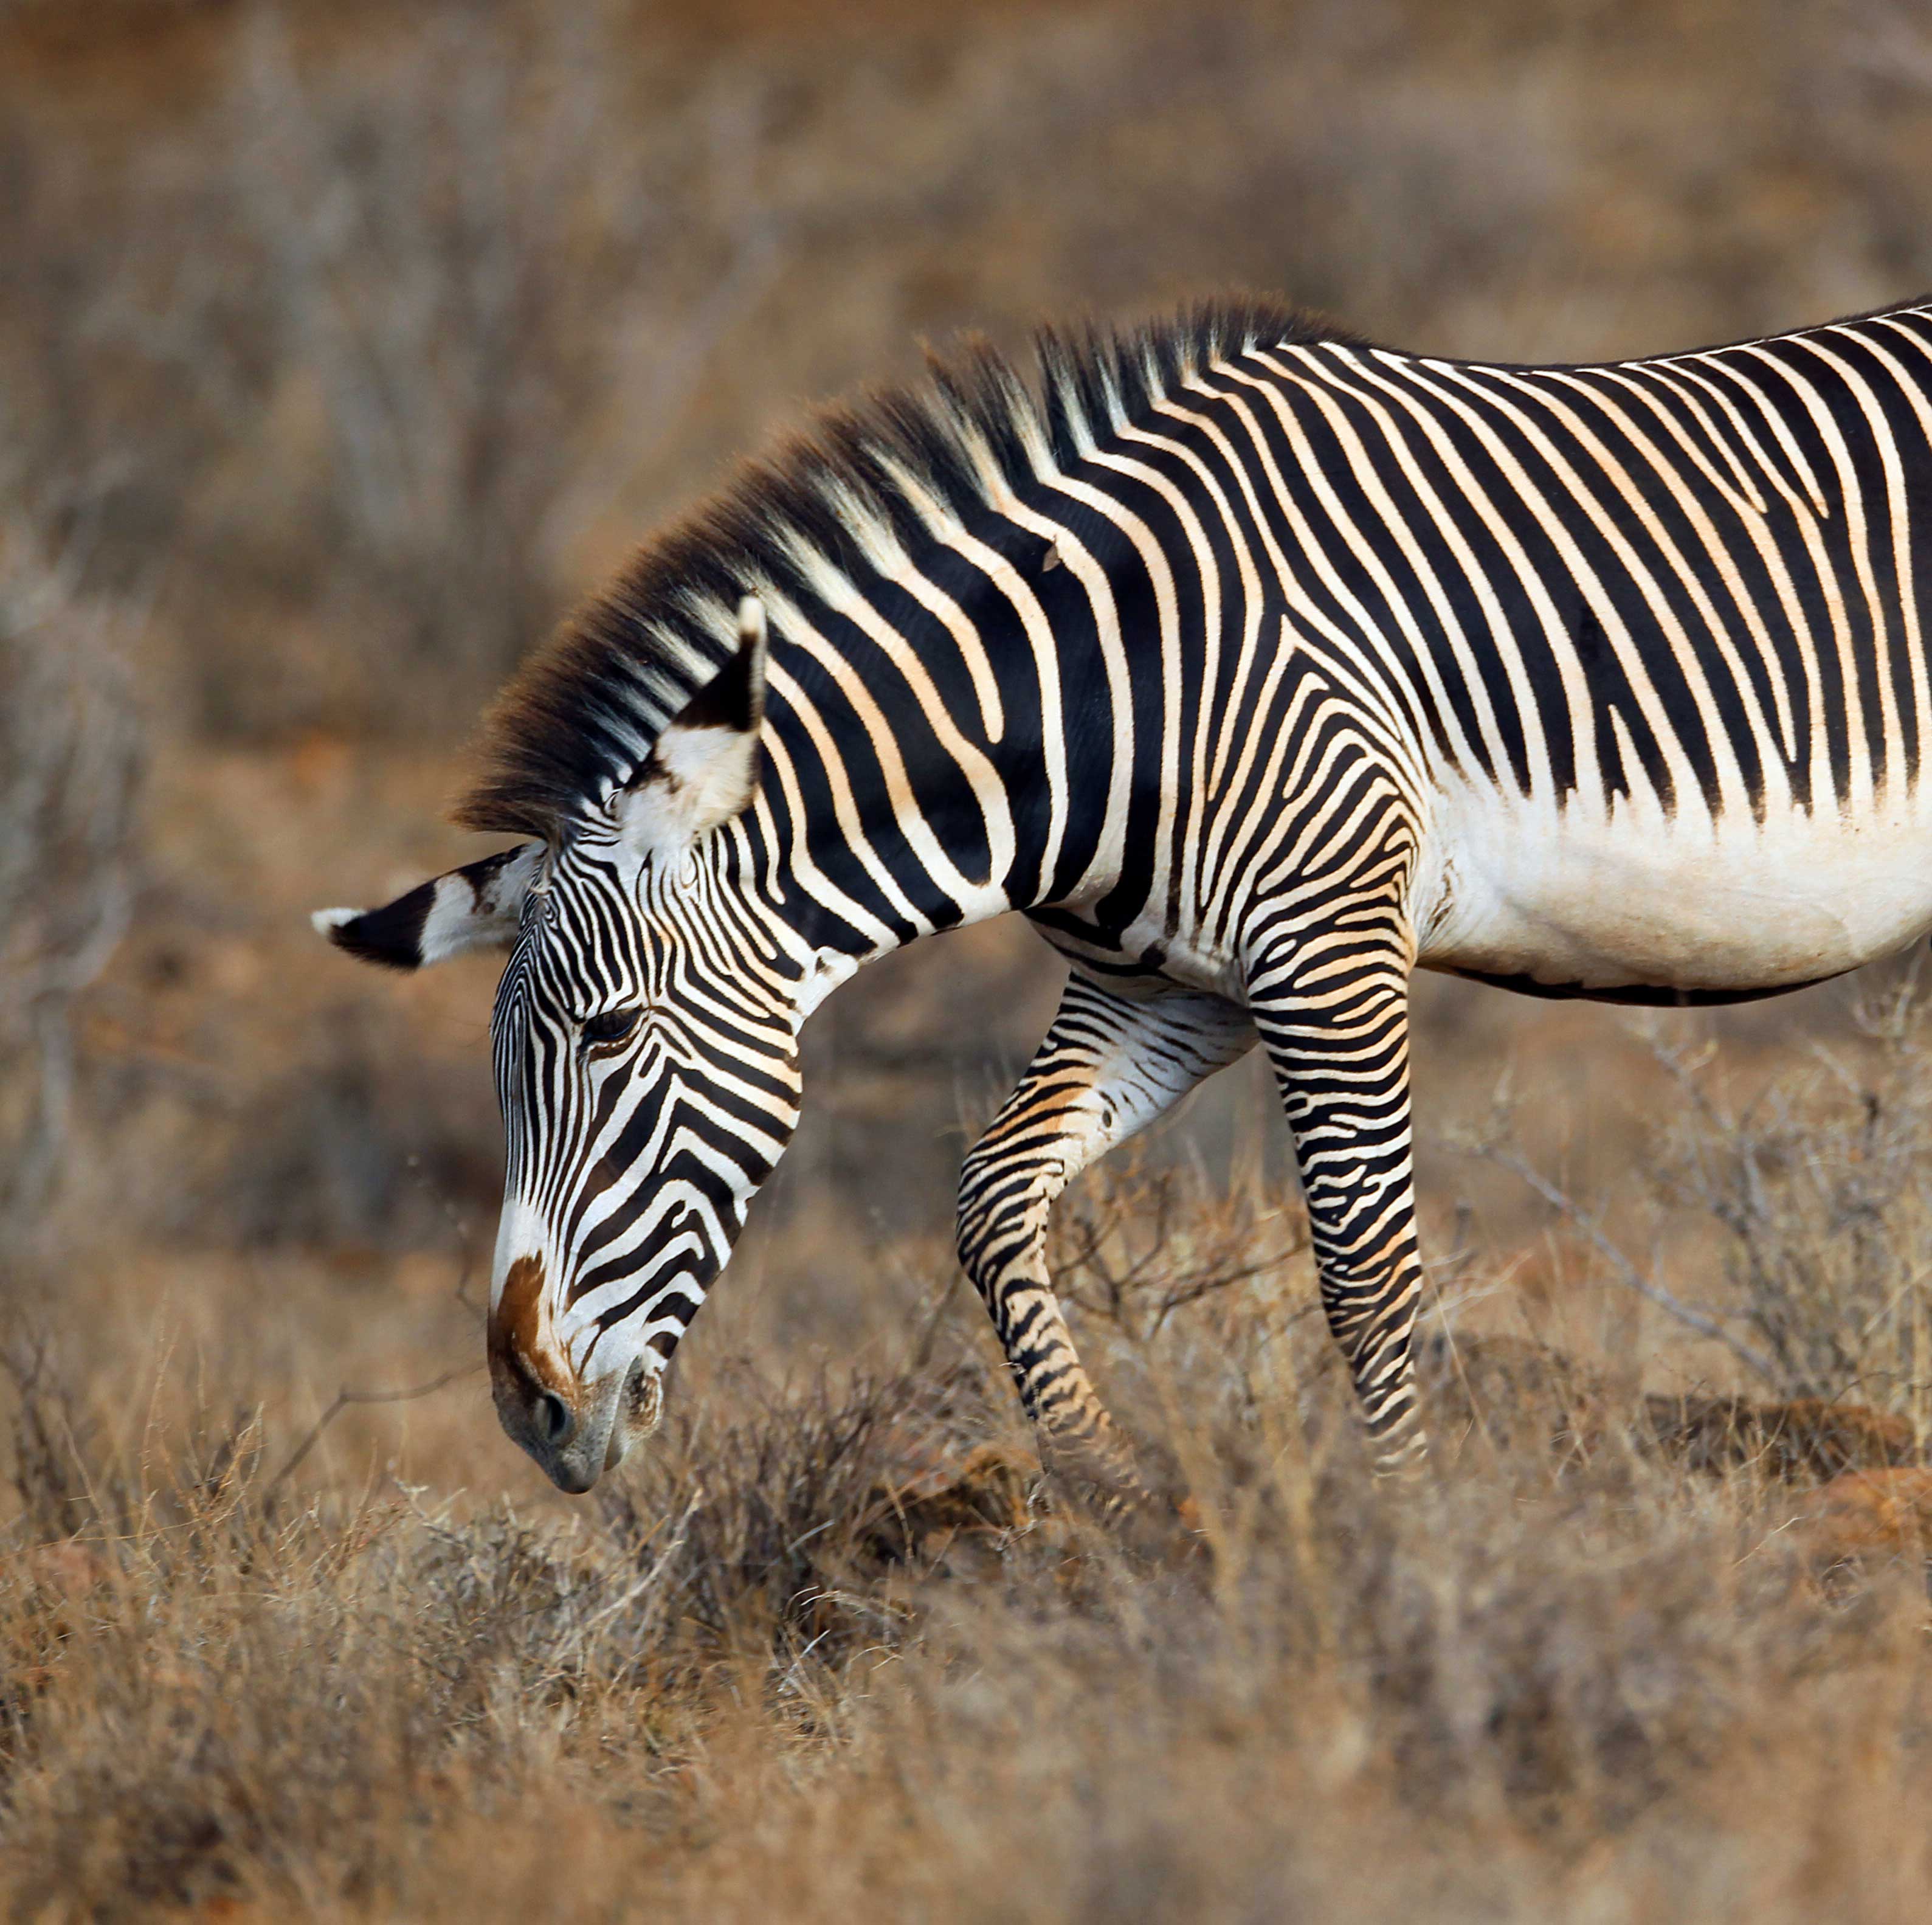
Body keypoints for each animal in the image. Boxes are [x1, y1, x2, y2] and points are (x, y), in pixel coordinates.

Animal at [319, 292, 1932, 1497]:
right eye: (496, 1068)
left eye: (608, 1039)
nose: (525, 1408)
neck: (1101, 691)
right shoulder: (1165, 984)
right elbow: (989, 1194)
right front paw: (1102, 1486)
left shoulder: (1331, 945)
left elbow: (1366, 1270)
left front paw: (1415, 1551)